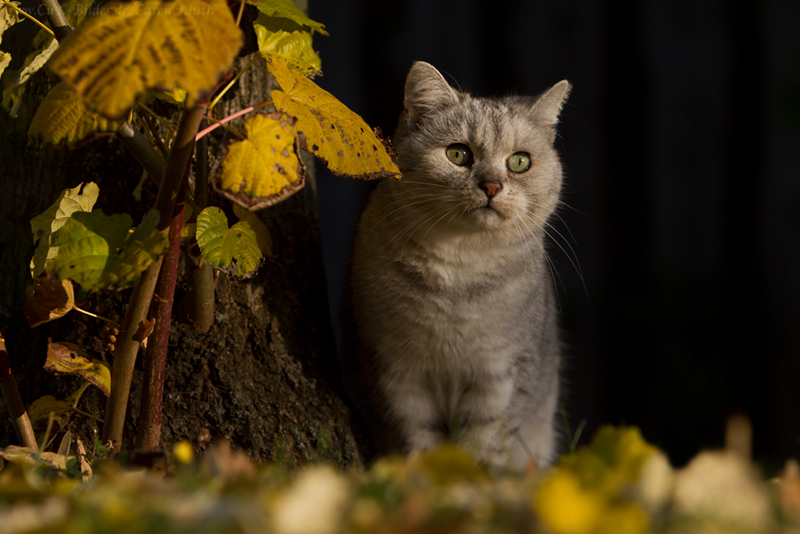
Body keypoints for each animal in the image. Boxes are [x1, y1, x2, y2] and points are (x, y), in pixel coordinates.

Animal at [342, 60, 568, 468]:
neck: (460, 269)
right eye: (458, 154)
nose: (492, 186)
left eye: (520, 162)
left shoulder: (503, 378)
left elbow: (480, 447)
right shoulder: (395, 375)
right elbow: (418, 442)